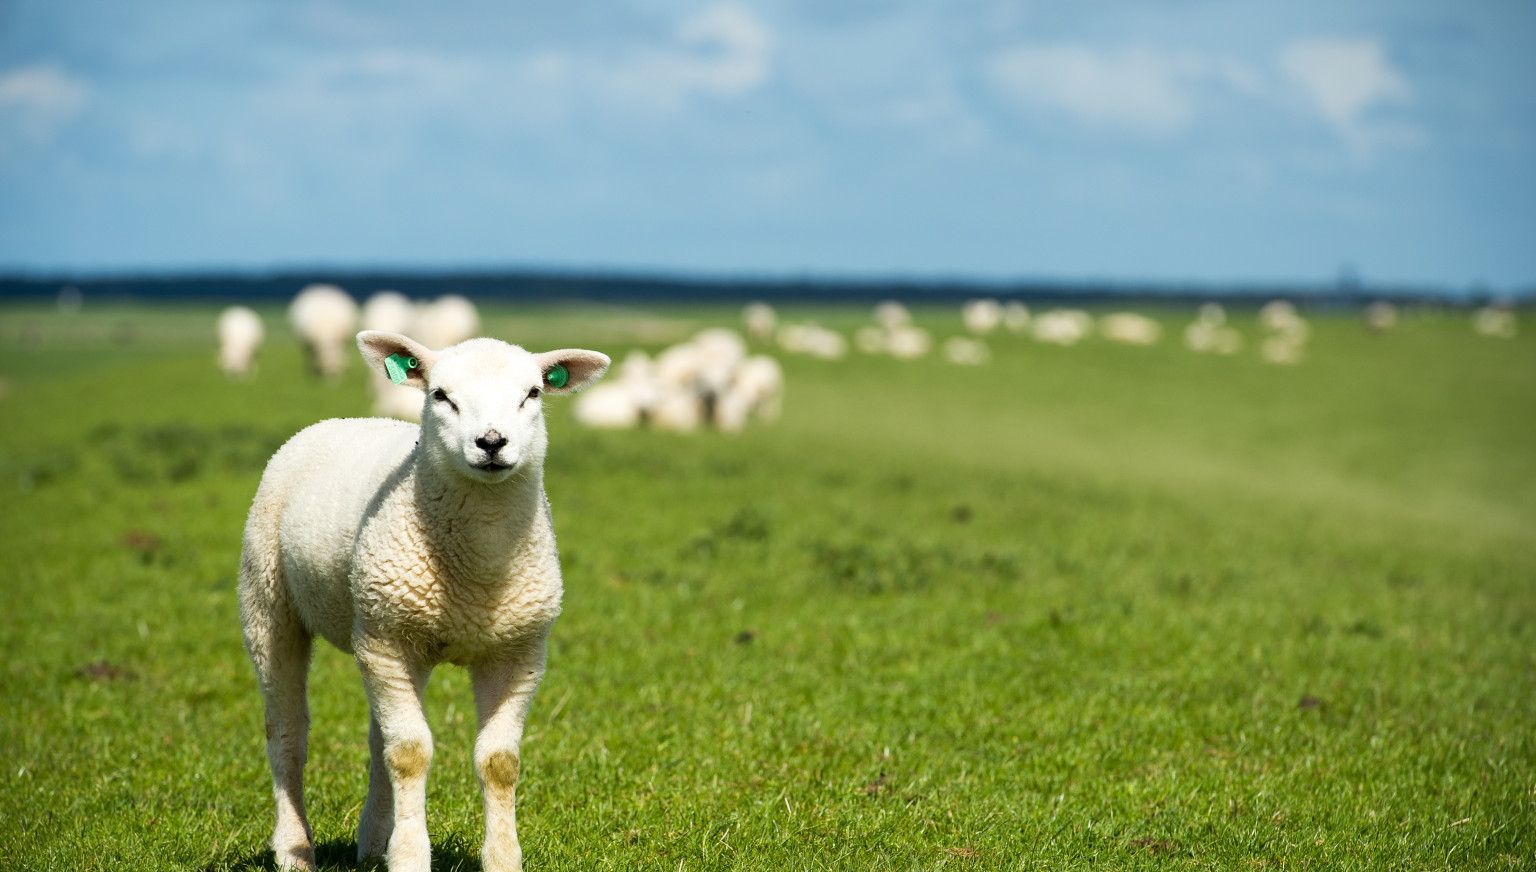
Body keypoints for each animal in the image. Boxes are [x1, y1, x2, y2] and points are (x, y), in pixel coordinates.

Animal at [236, 328, 608, 872]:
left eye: (533, 394)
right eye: (441, 395)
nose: (491, 442)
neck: (479, 571)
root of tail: (342, 421)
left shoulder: (518, 652)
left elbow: (499, 761)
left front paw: (502, 858)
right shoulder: (389, 641)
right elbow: (411, 753)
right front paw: (411, 856)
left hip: (391, 635)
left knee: (377, 741)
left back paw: (373, 843)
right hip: (271, 603)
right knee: (287, 734)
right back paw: (293, 848)